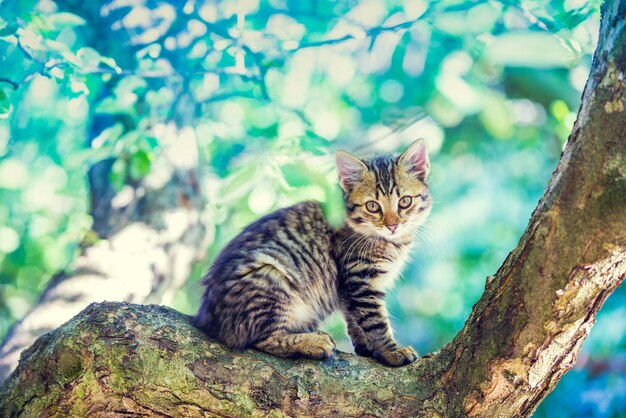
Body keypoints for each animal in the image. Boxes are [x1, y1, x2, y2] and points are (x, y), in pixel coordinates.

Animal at [195, 140, 428, 366]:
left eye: (404, 201)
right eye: (373, 206)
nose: (392, 225)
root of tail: (205, 318)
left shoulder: (346, 288)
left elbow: (354, 319)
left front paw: (366, 348)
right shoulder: (360, 278)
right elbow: (375, 321)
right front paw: (391, 350)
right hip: (272, 272)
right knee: (261, 339)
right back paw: (312, 342)